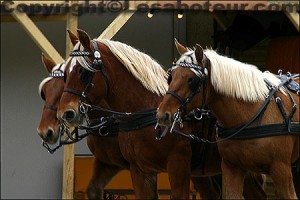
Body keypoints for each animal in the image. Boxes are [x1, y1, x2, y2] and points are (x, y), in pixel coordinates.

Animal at [57, 28, 266, 199]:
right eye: (66, 72)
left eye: (82, 71)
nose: (65, 113)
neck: (144, 110)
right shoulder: (140, 171)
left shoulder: (178, 166)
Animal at [156, 39, 298, 199]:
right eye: (171, 76)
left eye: (191, 79)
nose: (162, 114)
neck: (249, 114)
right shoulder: (231, 168)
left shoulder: (281, 170)